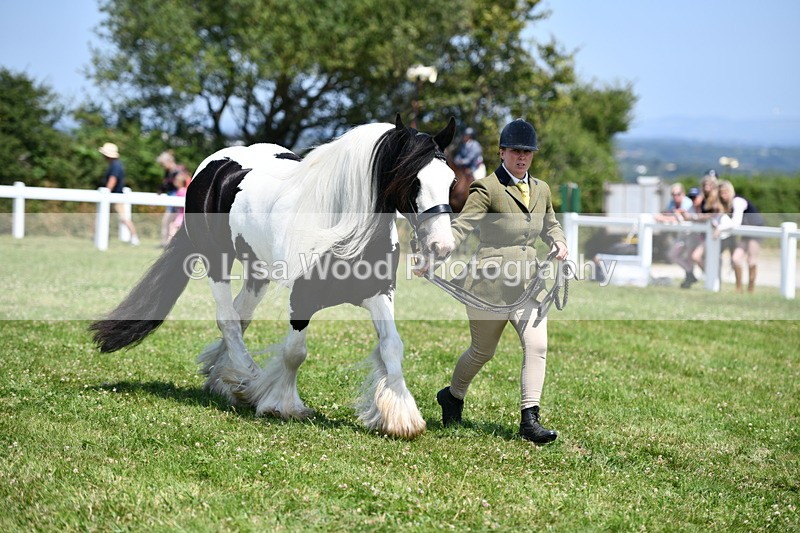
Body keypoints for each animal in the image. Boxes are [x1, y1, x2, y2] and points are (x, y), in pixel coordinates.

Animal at [90, 115, 457, 439]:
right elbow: (295, 352)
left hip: (258, 272)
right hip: (216, 261)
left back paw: (225, 378)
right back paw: (246, 379)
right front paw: (283, 405)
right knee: (227, 320)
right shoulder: (302, 298)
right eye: (413, 179)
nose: (441, 246)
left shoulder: (379, 293)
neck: (340, 227)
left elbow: (392, 346)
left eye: (451, 181)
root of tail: (213, 167)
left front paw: (400, 418)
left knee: (240, 318)